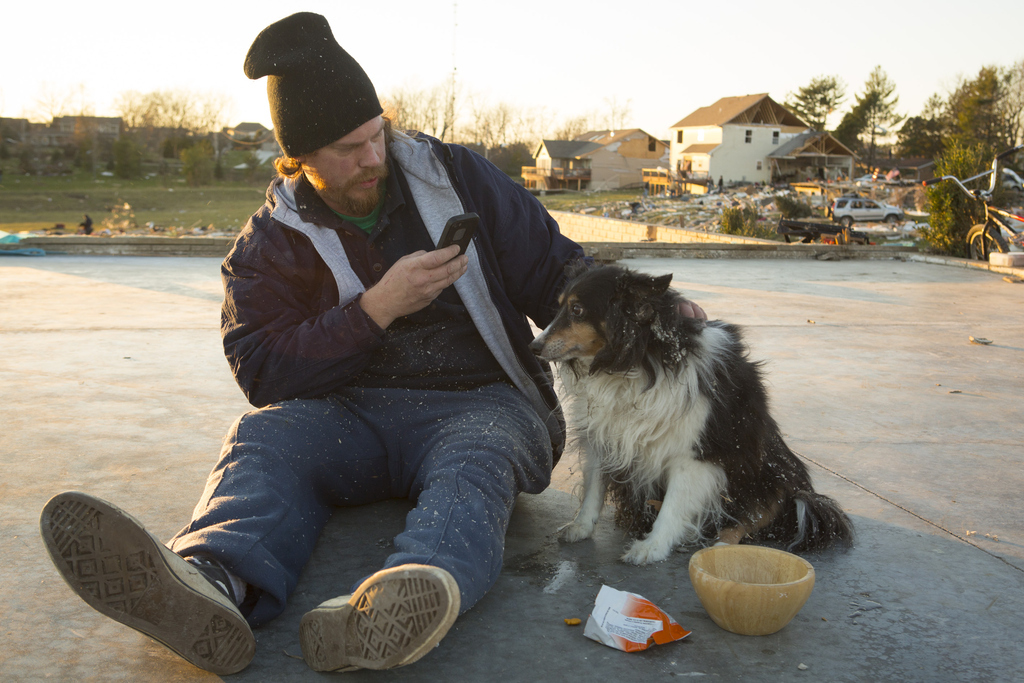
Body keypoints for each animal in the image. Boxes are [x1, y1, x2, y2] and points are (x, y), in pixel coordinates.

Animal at [532, 264, 851, 565]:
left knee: (747, 520)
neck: (635, 362)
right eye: (559, 306)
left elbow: (675, 504)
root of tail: (802, 490)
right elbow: (593, 489)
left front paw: (651, 548)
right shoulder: (604, 435)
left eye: (577, 309)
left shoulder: (694, 454)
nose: (533, 347)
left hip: (772, 480)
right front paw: (580, 527)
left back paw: (720, 549)